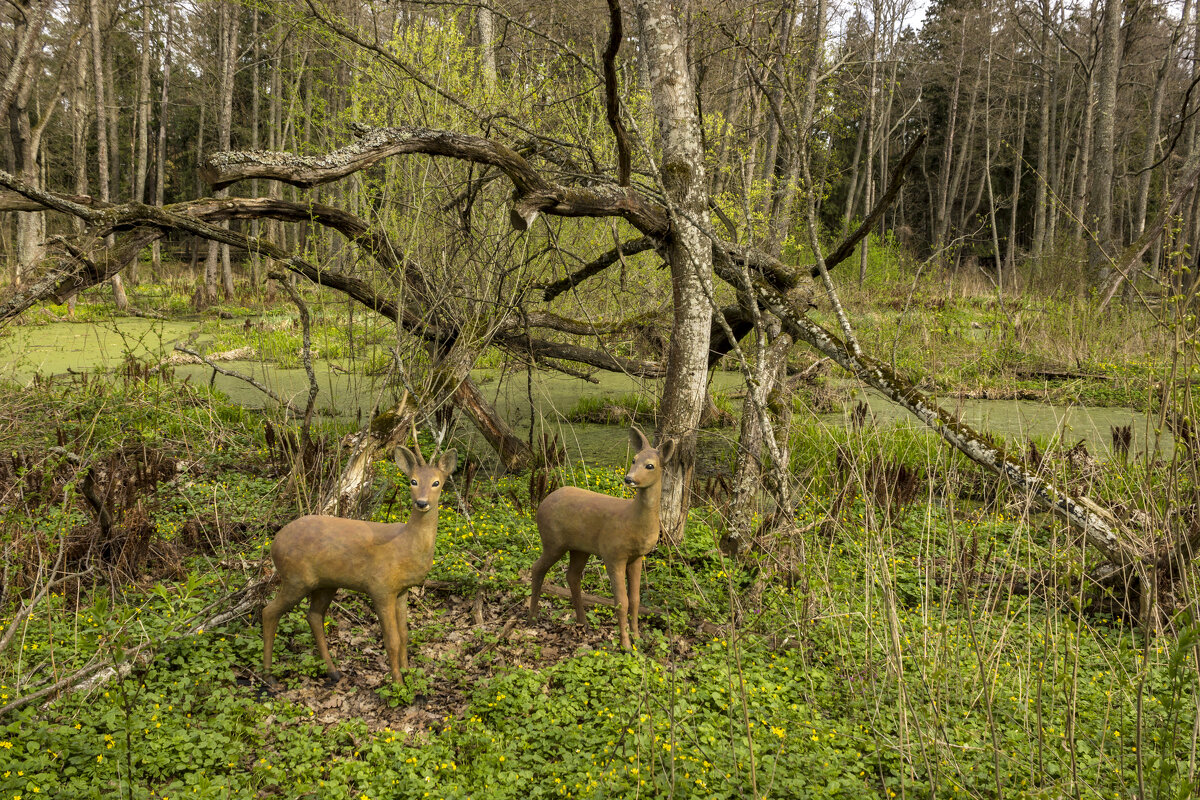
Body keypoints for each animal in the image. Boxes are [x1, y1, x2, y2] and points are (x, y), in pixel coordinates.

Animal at [260, 443, 456, 681]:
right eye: (413, 481)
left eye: (436, 482)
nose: (422, 503)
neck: (405, 545)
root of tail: (274, 543)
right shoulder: (380, 587)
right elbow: (392, 640)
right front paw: (397, 682)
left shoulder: (402, 590)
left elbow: (404, 635)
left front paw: (408, 674)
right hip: (295, 577)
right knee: (269, 612)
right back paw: (268, 675)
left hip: (326, 583)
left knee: (314, 616)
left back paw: (333, 672)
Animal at [528, 424, 672, 652]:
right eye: (633, 459)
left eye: (650, 465)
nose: (629, 479)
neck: (633, 519)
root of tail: (543, 501)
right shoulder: (613, 554)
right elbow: (622, 601)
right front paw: (625, 645)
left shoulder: (637, 557)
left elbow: (635, 600)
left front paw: (637, 638)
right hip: (552, 540)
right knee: (537, 568)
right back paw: (532, 618)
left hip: (579, 548)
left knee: (572, 576)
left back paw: (583, 622)